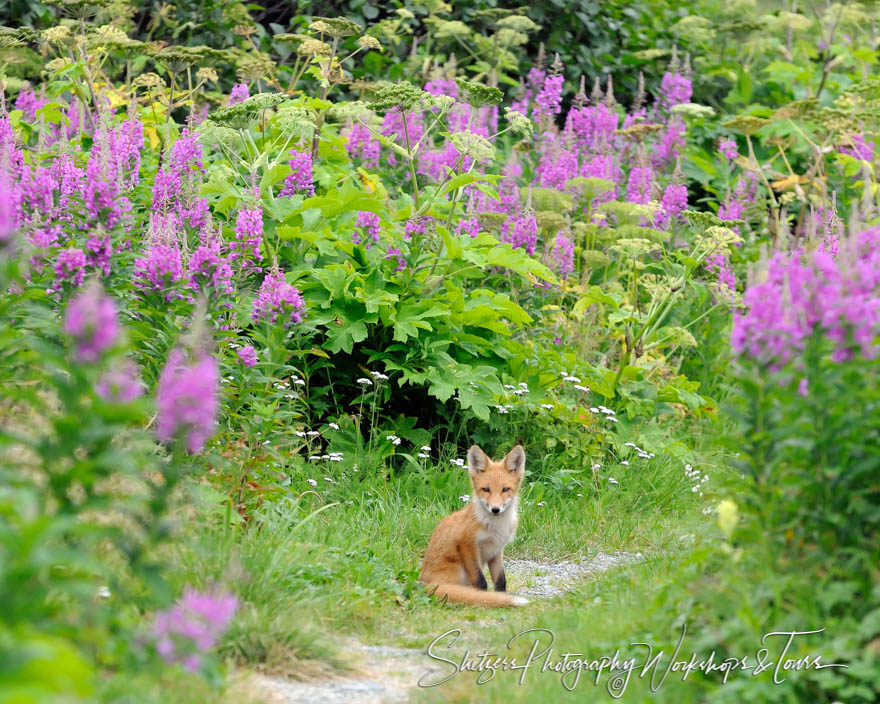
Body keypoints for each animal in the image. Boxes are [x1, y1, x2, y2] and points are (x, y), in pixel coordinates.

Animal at [420, 446, 528, 604]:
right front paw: (485, 598)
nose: (495, 509)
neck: (495, 528)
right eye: (486, 489)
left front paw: (500, 596)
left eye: (505, 489)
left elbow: (501, 580)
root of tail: (423, 584)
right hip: (459, 571)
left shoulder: (496, 550)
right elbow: (480, 581)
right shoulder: (467, 545)